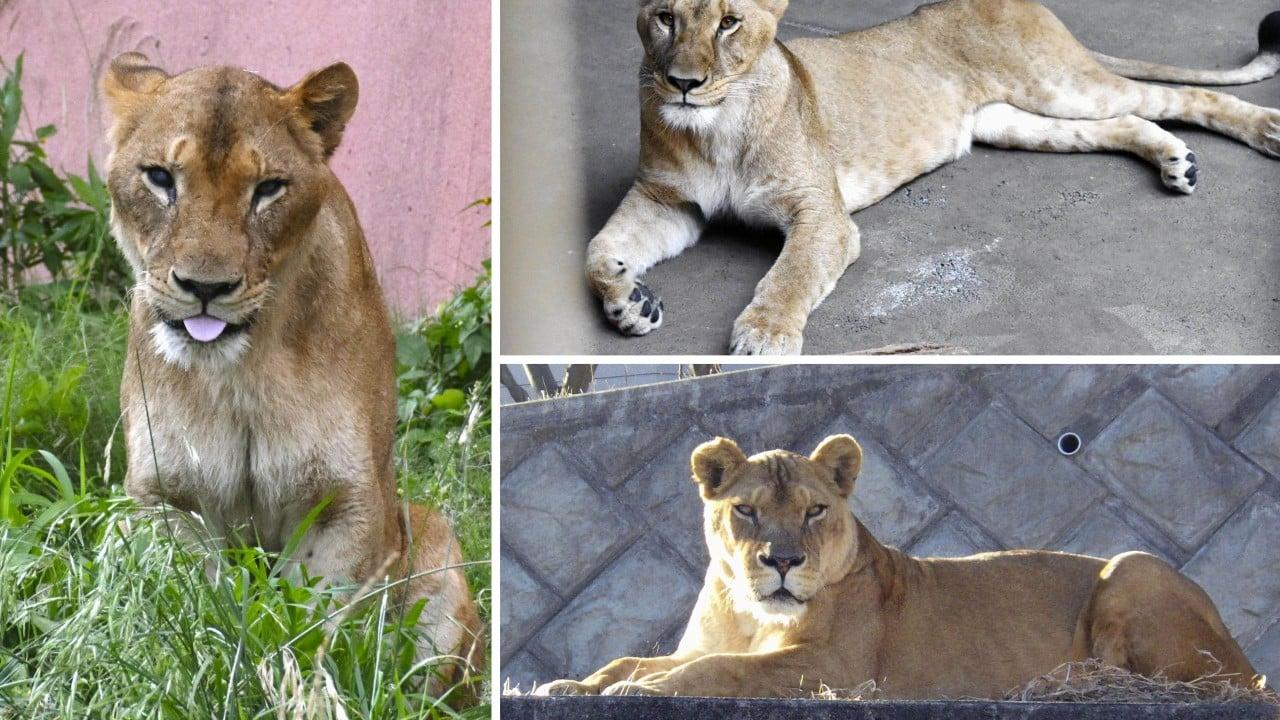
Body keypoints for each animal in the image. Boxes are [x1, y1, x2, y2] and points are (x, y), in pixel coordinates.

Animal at [102, 53, 483, 698]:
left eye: (268, 188)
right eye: (160, 178)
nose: (205, 288)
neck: (242, 373)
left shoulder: (346, 502)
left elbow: (318, 626)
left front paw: (305, 691)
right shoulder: (167, 499)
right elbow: (191, 610)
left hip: (431, 536)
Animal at [536, 434, 1265, 698]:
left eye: (814, 511)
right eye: (744, 510)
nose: (782, 561)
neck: (749, 612)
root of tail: (1252, 666)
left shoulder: (837, 669)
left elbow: (720, 671)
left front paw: (639, 692)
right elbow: (634, 659)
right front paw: (573, 685)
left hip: (1132, 566)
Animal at [586, 0, 1280, 354]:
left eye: (729, 20)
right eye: (665, 16)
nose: (682, 82)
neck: (715, 128)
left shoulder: (823, 215)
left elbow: (791, 275)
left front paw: (765, 338)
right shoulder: (667, 201)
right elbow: (598, 251)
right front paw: (631, 303)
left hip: (1059, 84)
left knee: (1178, 95)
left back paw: (1266, 131)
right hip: (1016, 119)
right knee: (1128, 119)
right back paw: (1174, 159)